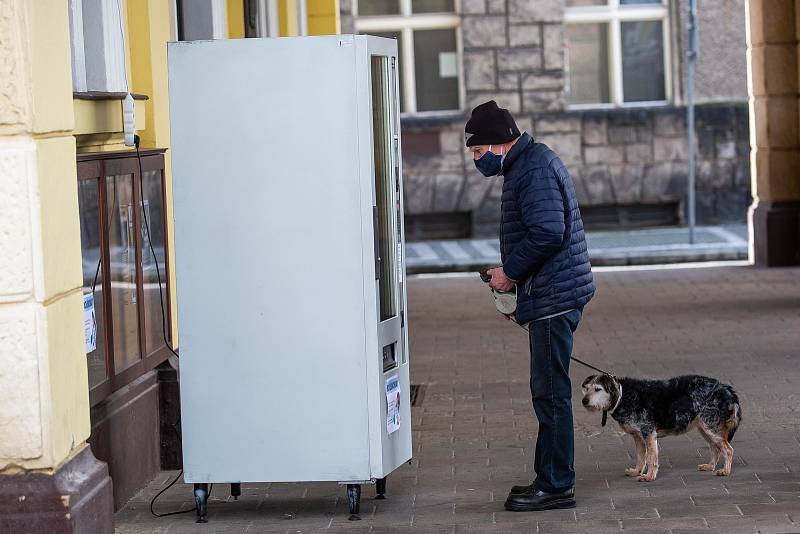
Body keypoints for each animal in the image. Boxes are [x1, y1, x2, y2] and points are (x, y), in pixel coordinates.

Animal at [580, 374, 740, 484]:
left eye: (598, 389)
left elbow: (651, 457)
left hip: (710, 426)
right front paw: (637, 471)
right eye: (586, 389)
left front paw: (649, 476)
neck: (622, 396)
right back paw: (710, 466)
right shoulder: (638, 436)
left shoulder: (648, 432)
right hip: (705, 428)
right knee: (715, 448)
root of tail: (725, 388)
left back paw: (725, 471)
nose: (584, 401)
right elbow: (640, 457)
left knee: (728, 449)